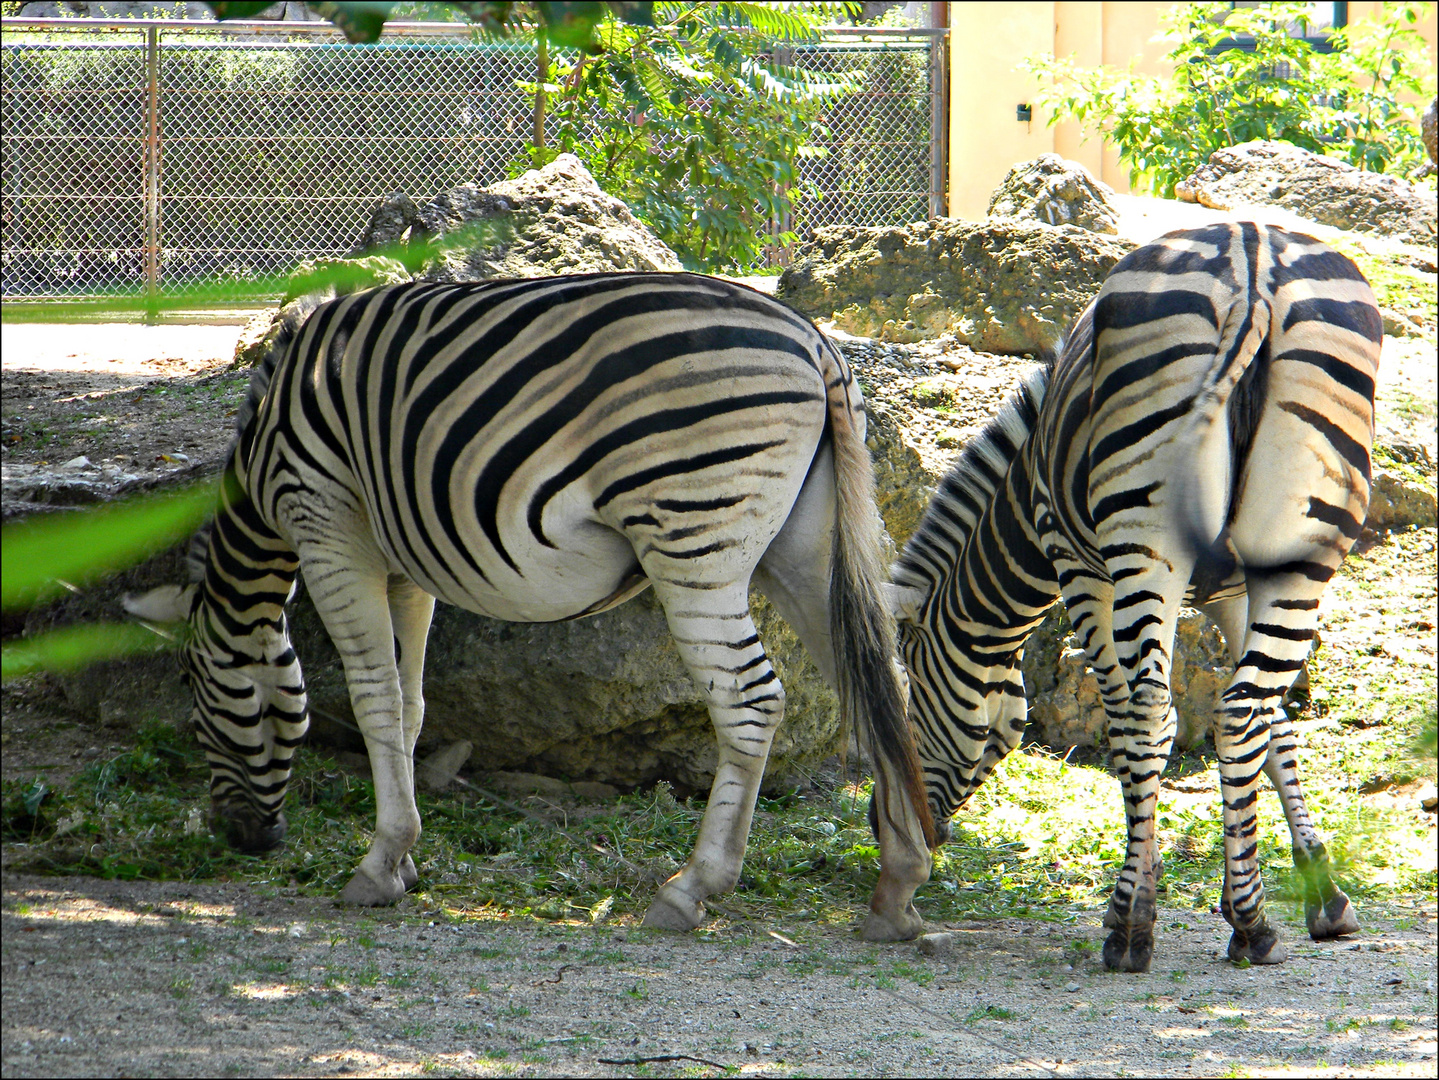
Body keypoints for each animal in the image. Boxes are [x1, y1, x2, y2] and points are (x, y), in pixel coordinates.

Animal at [120, 274, 932, 943]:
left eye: (196, 697)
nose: (246, 841)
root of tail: (815, 340)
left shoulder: (327, 529)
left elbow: (373, 698)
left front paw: (378, 867)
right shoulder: (406, 567)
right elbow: (410, 704)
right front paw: (406, 858)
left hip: (695, 539)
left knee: (752, 703)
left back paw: (692, 888)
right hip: (801, 546)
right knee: (883, 685)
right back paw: (898, 886)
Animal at [886, 224, 1381, 977]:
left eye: (914, 700)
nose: (903, 838)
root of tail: (1251, 254)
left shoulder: (1073, 560)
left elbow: (1135, 722)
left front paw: (1137, 894)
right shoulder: (1234, 586)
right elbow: (1274, 729)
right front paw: (1317, 895)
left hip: (1145, 541)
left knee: (1150, 710)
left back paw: (1130, 930)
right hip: (1296, 548)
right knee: (1241, 711)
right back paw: (1253, 924)